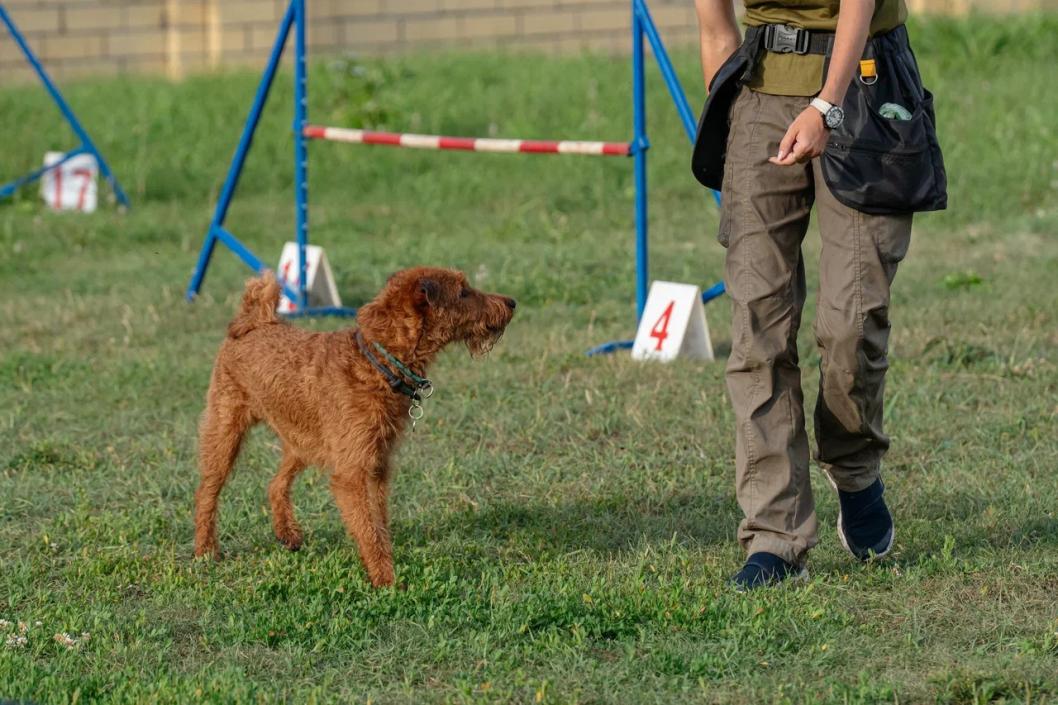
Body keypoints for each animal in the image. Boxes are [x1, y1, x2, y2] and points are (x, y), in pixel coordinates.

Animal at [196, 266, 518, 584]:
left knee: (276, 484)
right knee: (207, 493)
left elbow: (378, 521)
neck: (378, 362)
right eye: (463, 292)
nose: (512, 302)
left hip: (303, 441)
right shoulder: (353, 471)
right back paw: (205, 551)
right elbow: (369, 529)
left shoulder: (376, 464)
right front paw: (387, 582)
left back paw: (288, 534)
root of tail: (254, 321)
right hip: (225, 431)